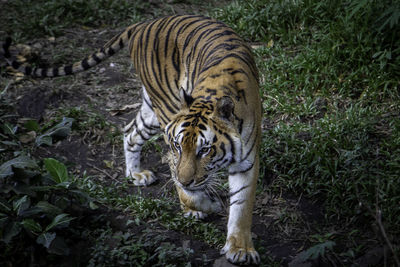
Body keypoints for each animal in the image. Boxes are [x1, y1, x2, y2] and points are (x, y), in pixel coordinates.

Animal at [2, 15, 262, 266]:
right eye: (179, 146)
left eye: (205, 150)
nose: (186, 181)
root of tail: (144, 23)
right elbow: (184, 179)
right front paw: (207, 205)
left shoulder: (246, 161)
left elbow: (241, 208)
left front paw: (240, 249)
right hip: (164, 106)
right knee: (148, 145)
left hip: (153, 111)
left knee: (130, 132)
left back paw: (136, 174)